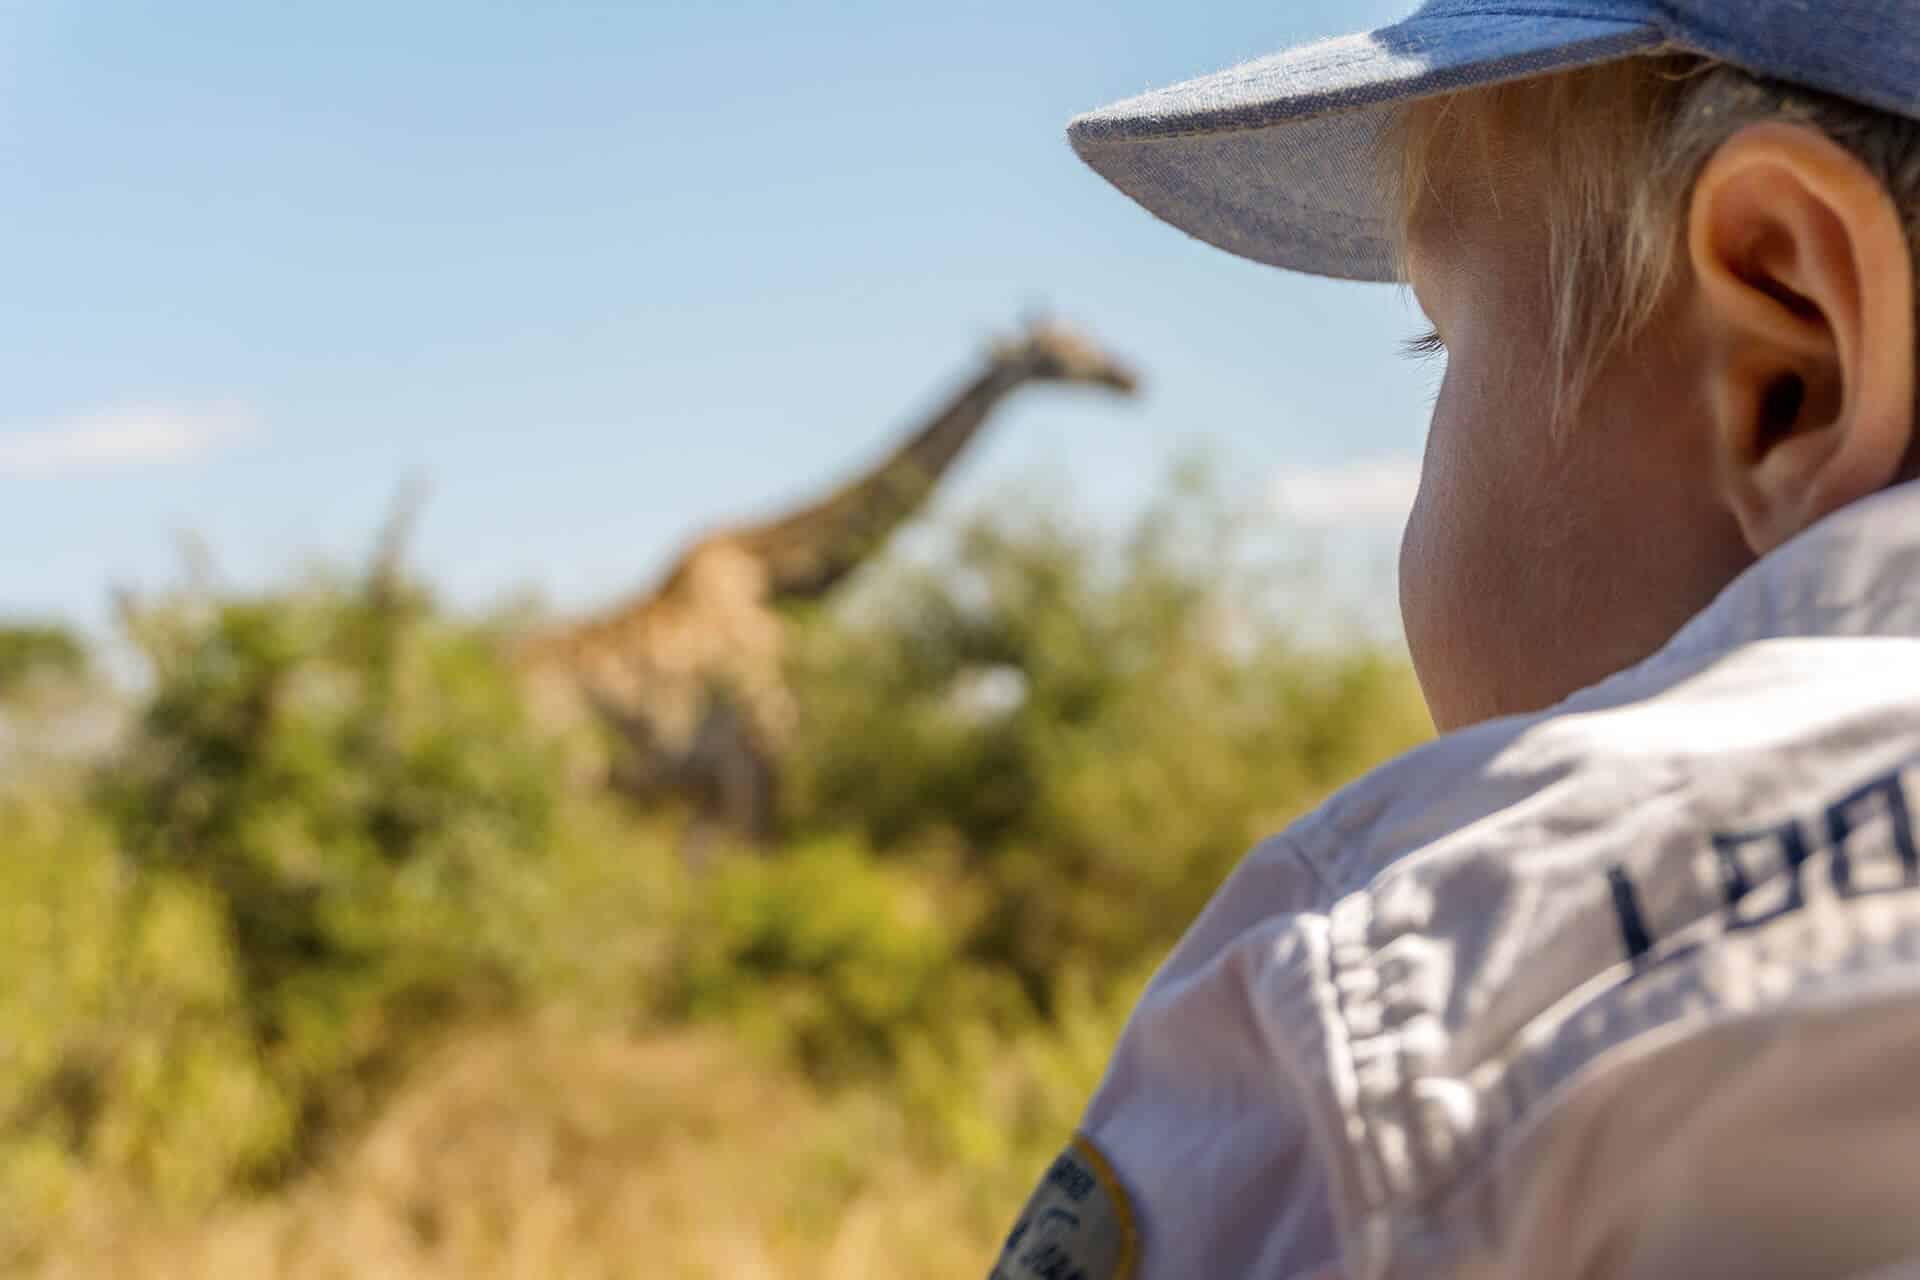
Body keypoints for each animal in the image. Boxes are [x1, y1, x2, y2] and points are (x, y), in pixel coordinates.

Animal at [517, 318, 1140, 847]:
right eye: (1058, 349)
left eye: (1083, 333)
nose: (1130, 376)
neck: (786, 583)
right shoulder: (758, 757)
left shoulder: (718, 785)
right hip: (572, 777)